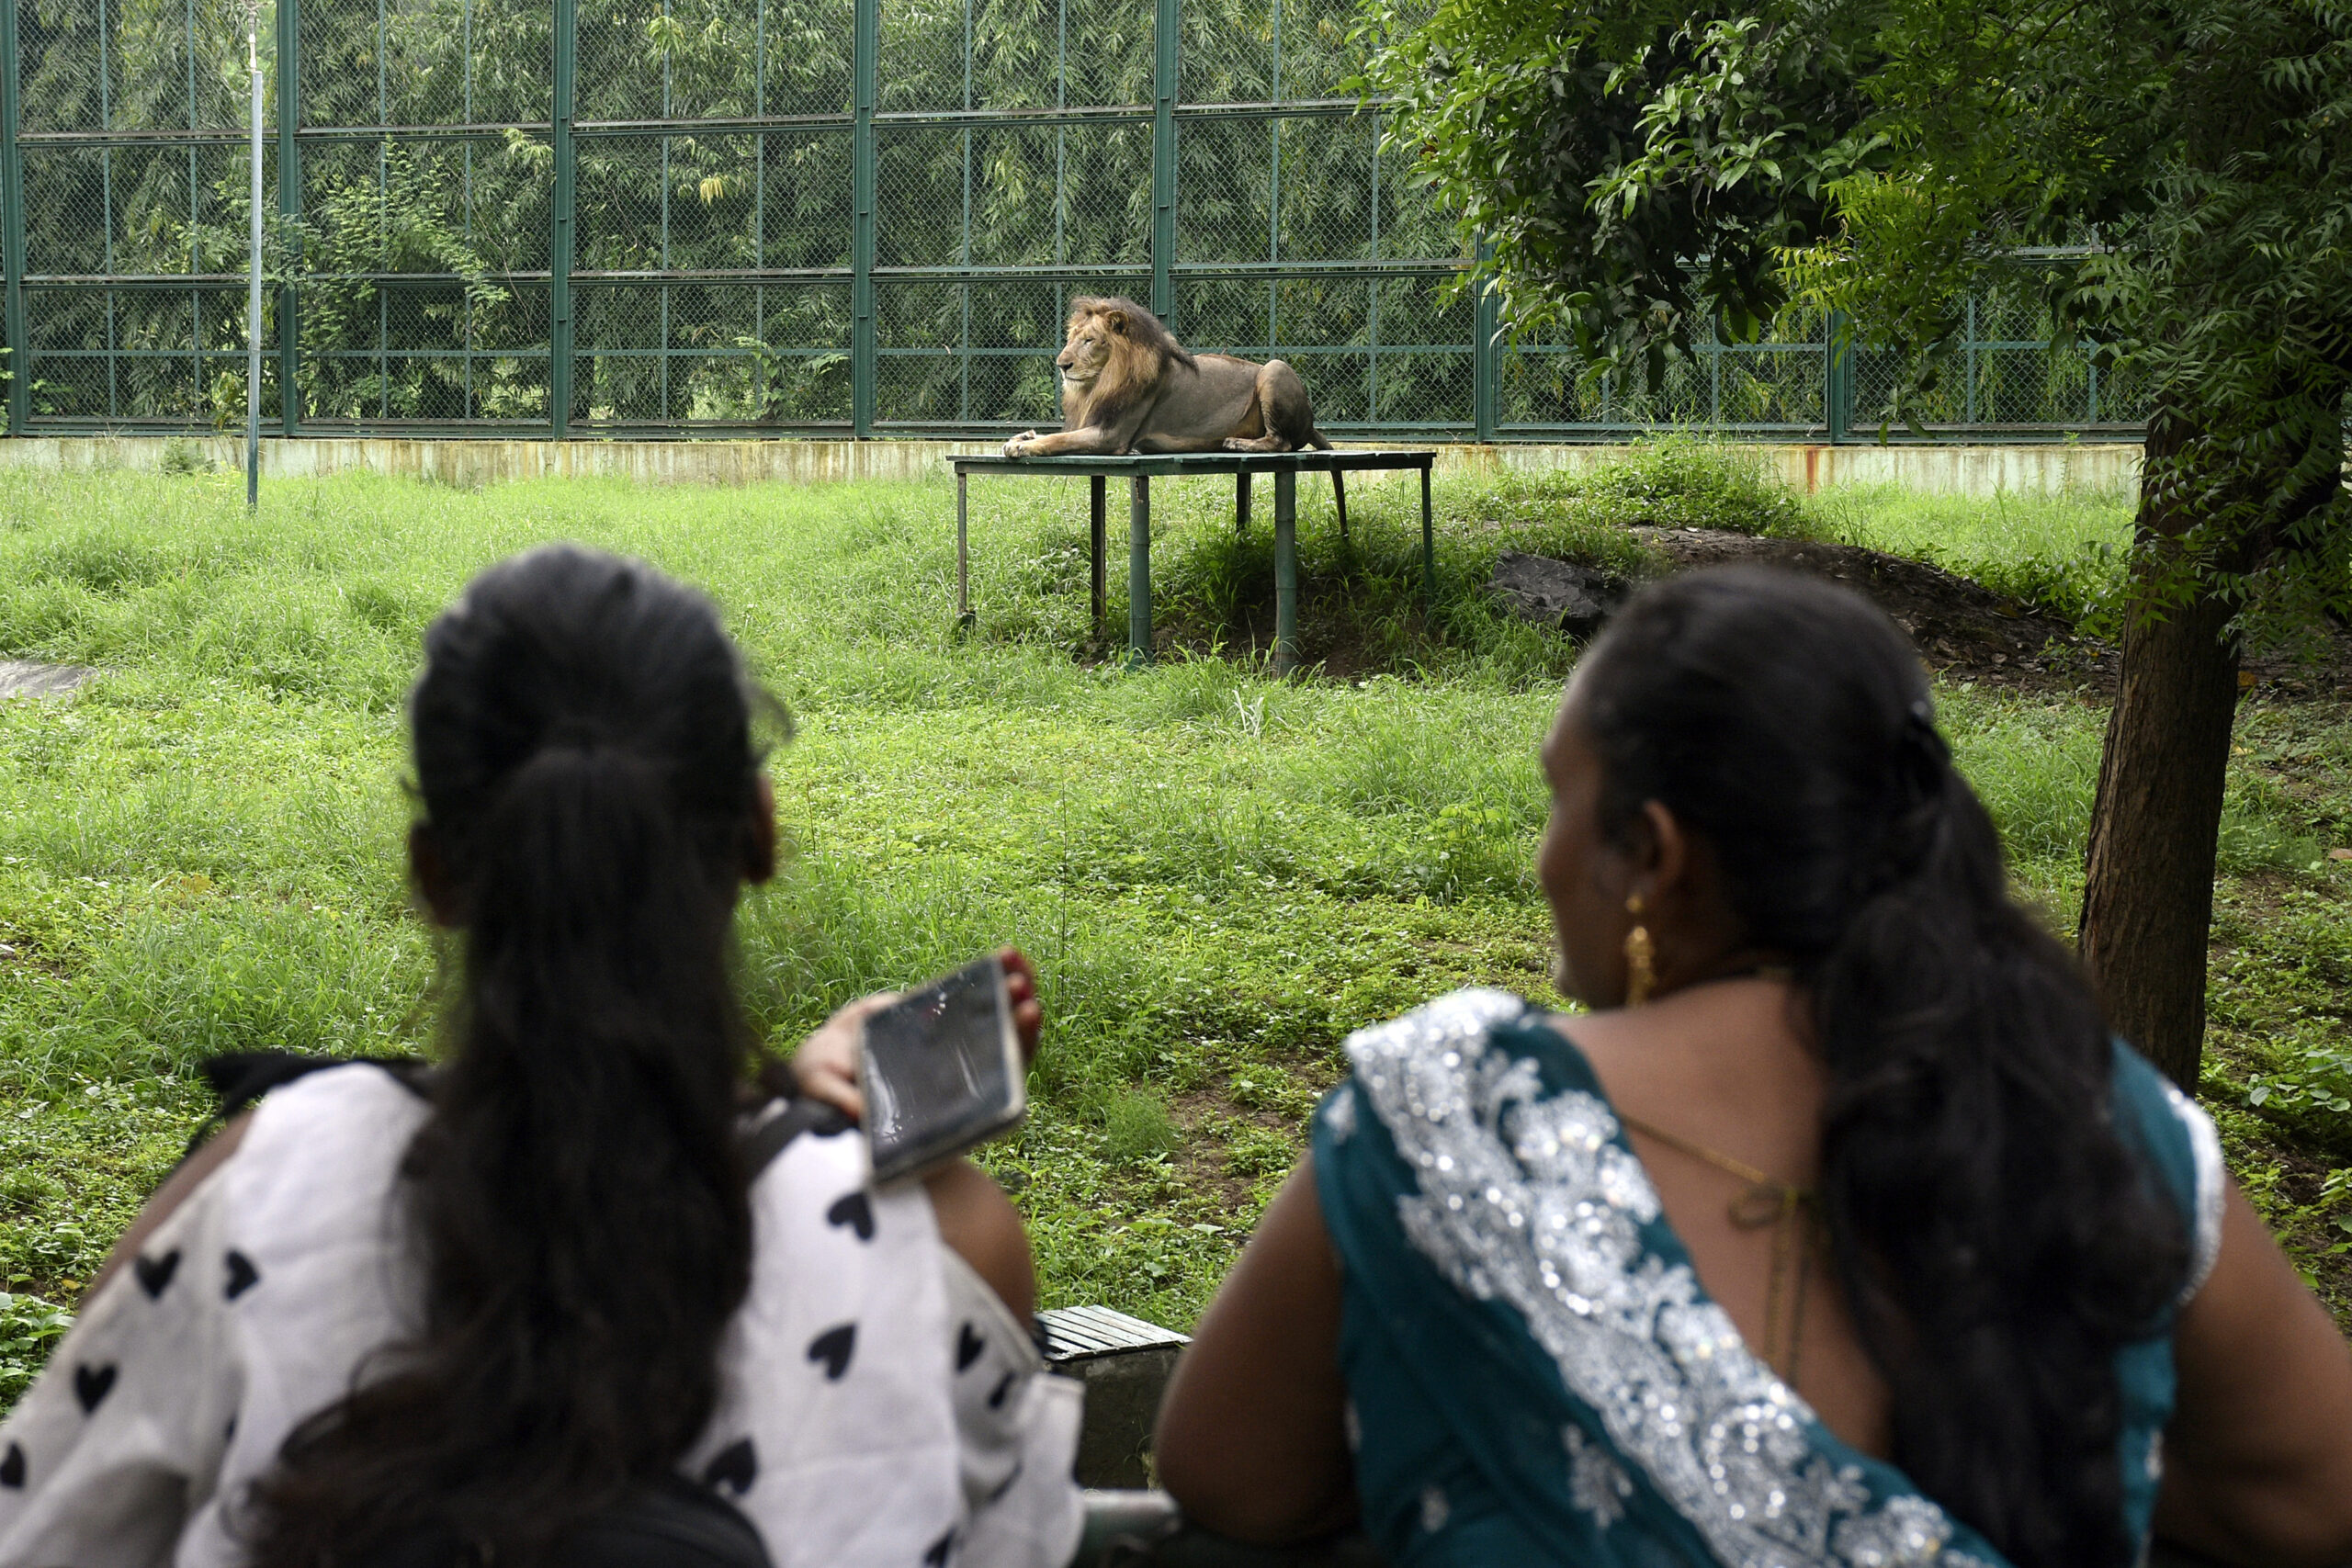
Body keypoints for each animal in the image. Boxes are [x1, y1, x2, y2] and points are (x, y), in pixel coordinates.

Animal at [1001, 303, 1354, 526]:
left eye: (1089, 340)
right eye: (1070, 339)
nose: (1062, 365)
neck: (1101, 381)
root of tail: (1311, 421)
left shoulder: (1110, 435)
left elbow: (1060, 439)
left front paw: (1023, 446)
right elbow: (1055, 434)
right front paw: (1023, 435)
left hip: (1275, 368)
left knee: (1281, 442)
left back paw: (1239, 444)